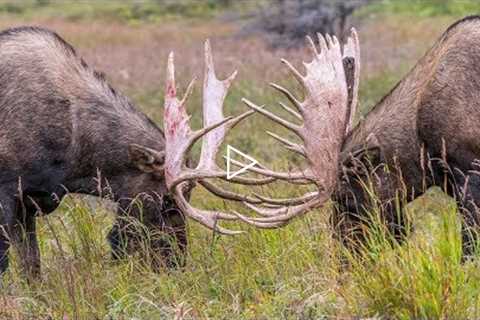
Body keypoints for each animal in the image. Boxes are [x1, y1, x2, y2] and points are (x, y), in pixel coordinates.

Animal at [0, 16, 480, 278]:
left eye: (346, 196)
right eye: (166, 204)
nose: (346, 263)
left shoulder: (468, 172)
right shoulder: (17, 196)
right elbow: (25, 267)